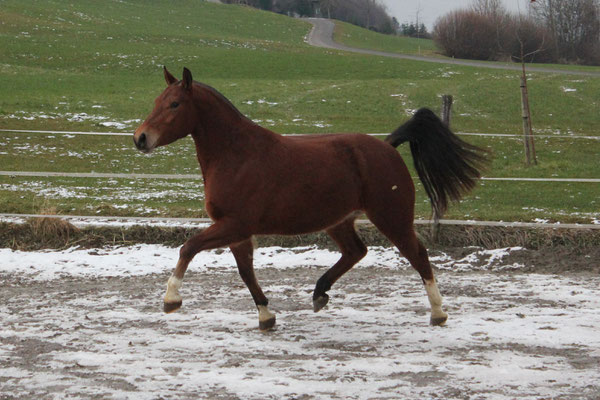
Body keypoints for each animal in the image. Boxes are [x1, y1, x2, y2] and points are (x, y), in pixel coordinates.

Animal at [132, 67, 488, 332]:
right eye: (157, 100)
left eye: (175, 104)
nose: (140, 138)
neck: (236, 155)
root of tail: (387, 147)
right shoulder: (235, 230)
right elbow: (246, 272)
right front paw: (266, 316)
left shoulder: (235, 224)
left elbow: (188, 247)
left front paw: (171, 300)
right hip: (339, 220)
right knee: (356, 251)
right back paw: (320, 293)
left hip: (391, 217)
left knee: (419, 255)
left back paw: (438, 312)